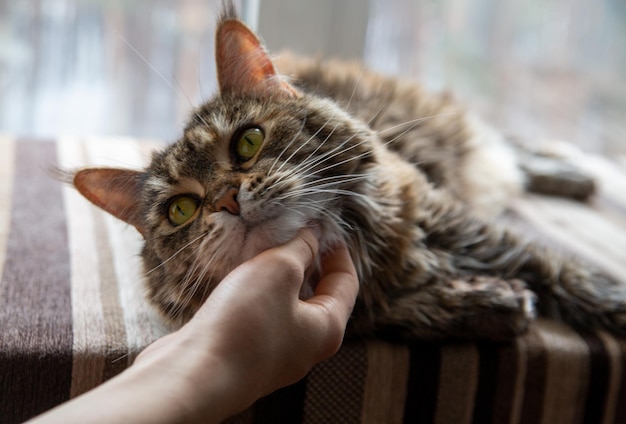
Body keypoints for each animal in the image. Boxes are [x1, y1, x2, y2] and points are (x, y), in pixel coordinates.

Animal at [70, 4, 624, 342]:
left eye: (248, 142)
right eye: (182, 209)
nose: (228, 199)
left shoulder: (459, 223)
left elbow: (562, 269)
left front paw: (613, 303)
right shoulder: (365, 312)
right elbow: (408, 314)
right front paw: (490, 304)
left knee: (507, 146)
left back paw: (576, 174)